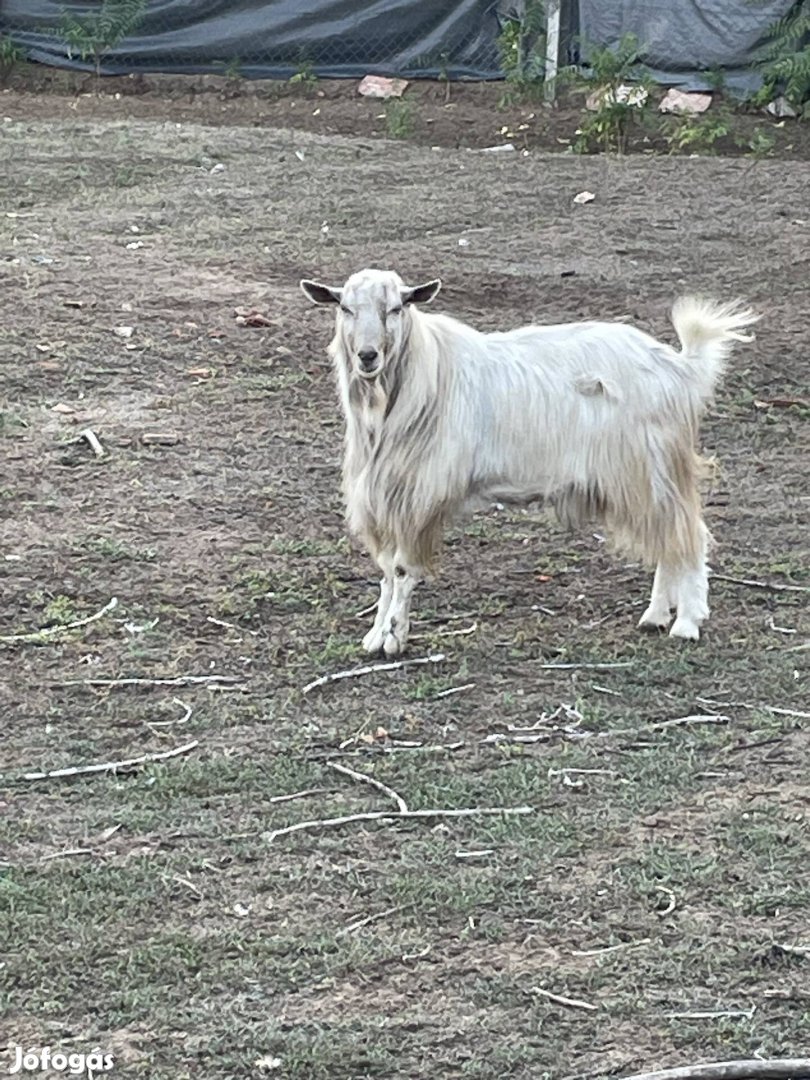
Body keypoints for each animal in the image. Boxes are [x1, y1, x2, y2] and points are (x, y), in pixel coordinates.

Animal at [302, 270, 760, 656]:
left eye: (397, 307)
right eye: (344, 308)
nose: (367, 356)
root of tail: (680, 367)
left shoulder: (419, 496)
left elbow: (399, 570)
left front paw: (394, 638)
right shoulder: (385, 496)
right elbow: (383, 570)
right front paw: (375, 634)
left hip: (651, 467)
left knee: (689, 536)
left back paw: (687, 623)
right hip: (643, 478)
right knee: (669, 540)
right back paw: (655, 616)